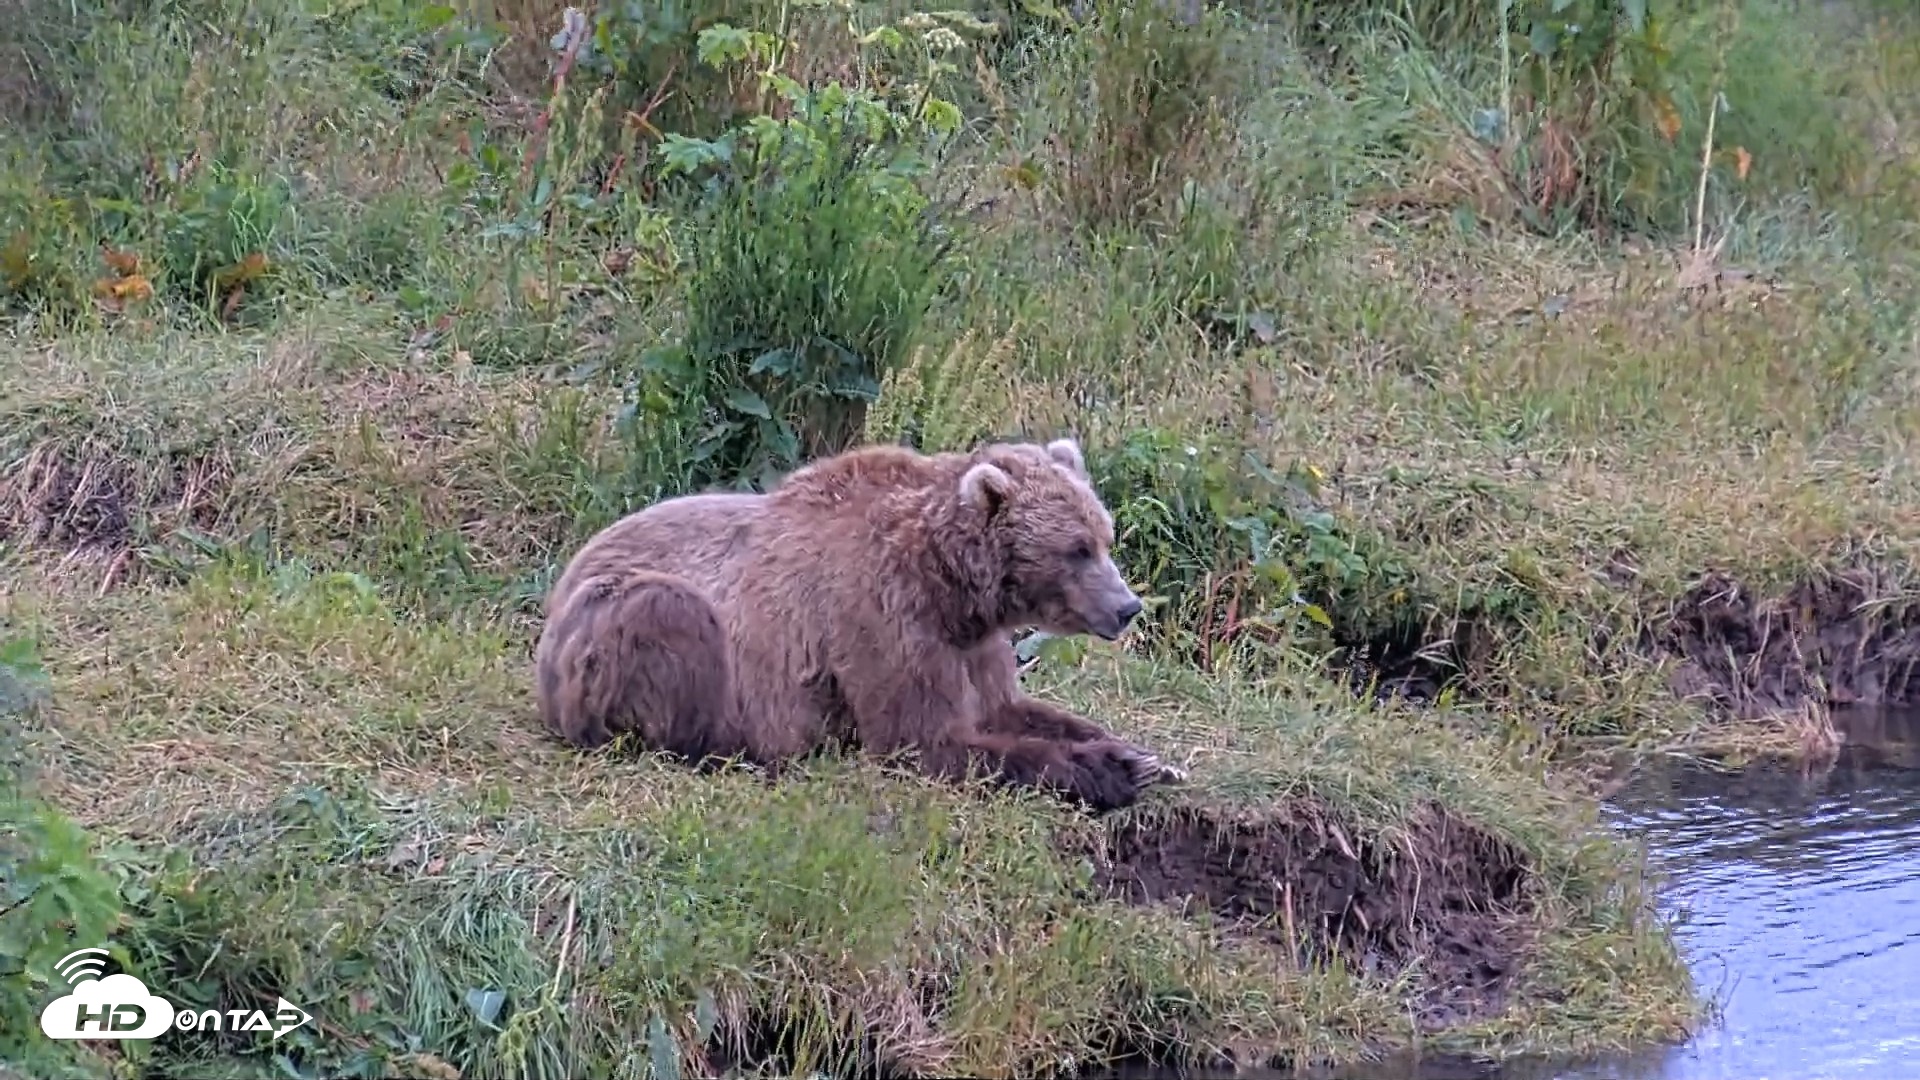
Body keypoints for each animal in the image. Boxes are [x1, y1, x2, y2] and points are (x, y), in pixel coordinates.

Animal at [532, 436, 1186, 812]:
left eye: (1104, 536)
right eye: (1076, 549)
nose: (1128, 607)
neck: (950, 584)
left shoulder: (972, 641)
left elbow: (1005, 707)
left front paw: (1144, 756)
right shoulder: (877, 615)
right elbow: (924, 740)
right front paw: (1106, 771)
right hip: (609, 624)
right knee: (669, 618)